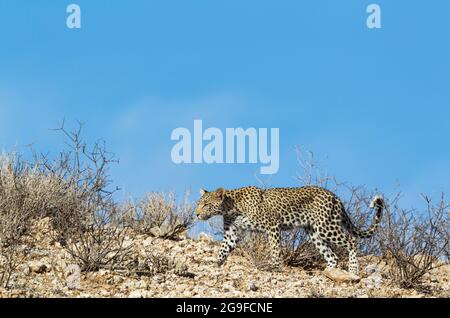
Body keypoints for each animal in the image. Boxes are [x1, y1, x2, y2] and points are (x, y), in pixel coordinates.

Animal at [195, 186, 384, 276]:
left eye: (206, 204)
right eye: (199, 203)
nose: (196, 214)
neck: (230, 207)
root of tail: (335, 197)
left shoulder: (272, 226)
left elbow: (274, 249)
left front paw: (274, 267)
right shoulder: (232, 233)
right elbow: (223, 250)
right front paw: (215, 264)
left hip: (326, 226)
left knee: (351, 241)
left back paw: (353, 270)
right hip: (314, 232)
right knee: (332, 255)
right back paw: (329, 272)